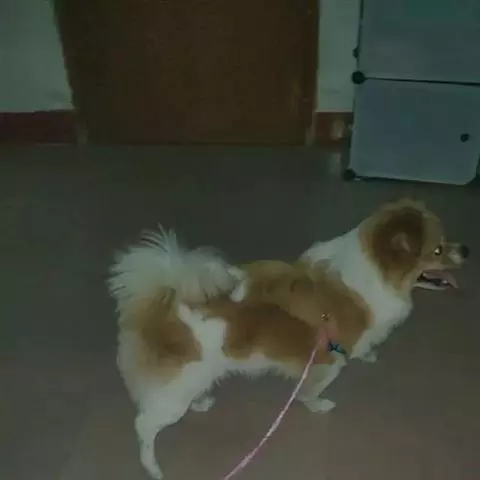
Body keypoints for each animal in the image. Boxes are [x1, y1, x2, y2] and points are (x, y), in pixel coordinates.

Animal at [108, 199, 468, 479]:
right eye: (438, 250)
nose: (466, 248)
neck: (371, 278)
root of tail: (161, 300)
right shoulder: (328, 359)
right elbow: (314, 390)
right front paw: (317, 405)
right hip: (179, 386)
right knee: (144, 424)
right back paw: (152, 467)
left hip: (190, 379)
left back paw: (200, 402)